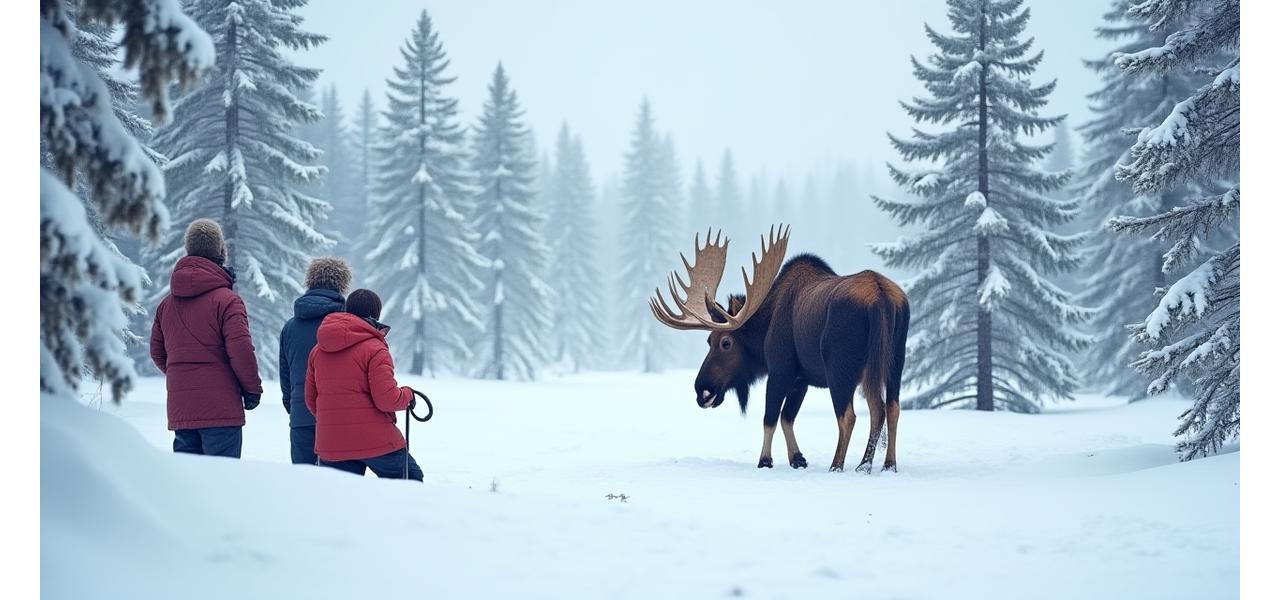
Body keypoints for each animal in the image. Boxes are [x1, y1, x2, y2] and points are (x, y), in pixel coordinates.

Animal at [650, 225, 910, 472]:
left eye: (725, 342)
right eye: (708, 341)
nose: (702, 390)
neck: (765, 328)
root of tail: (880, 297)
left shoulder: (780, 370)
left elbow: (770, 418)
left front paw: (765, 460)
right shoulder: (801, 379)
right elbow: (787, 417)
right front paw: (797, 458)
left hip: (840, 369)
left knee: (849, 416)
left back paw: (838, 465)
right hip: (894, 360)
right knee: (889, 408)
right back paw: (881, 465)